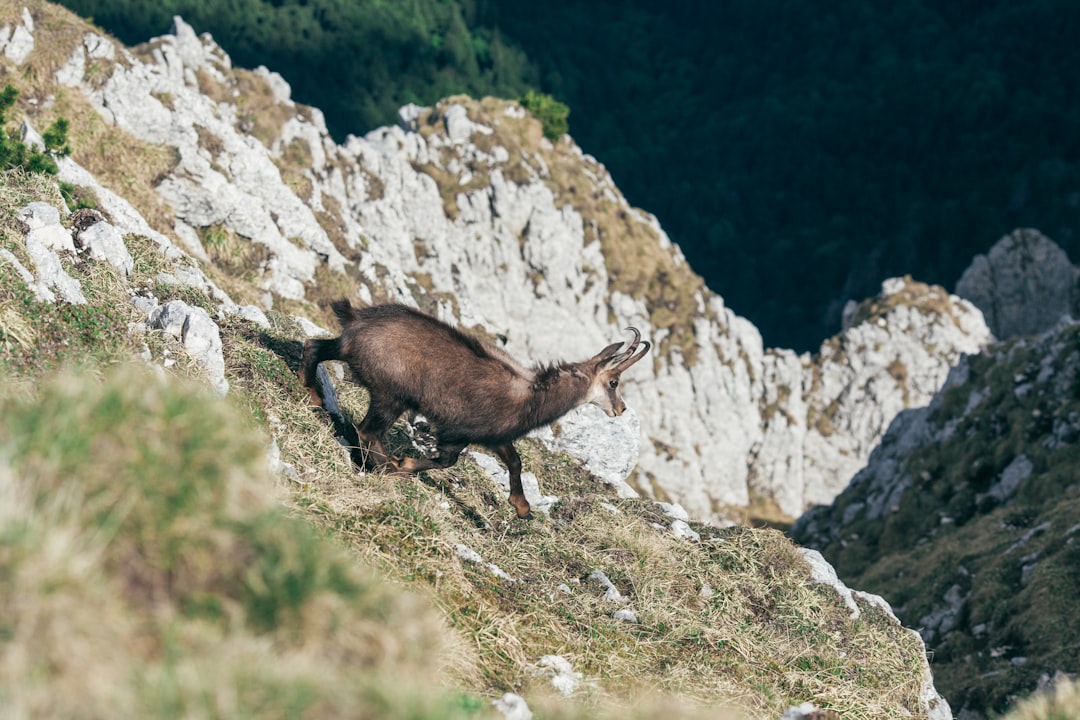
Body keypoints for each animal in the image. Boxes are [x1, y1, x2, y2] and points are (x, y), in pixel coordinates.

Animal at [300, 300, 650, 518]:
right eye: (614, 382)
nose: (620, 409)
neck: (531, 396)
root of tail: (358, 318)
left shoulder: (495, 436)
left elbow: (515, 462)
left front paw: (522, 508)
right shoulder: (460, 430)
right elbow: (447, 461)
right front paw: (404, 464)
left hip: (353, 355)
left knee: (315, 346)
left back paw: (313, 395)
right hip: (392, 394)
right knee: (368, 430)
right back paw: (383, 465)